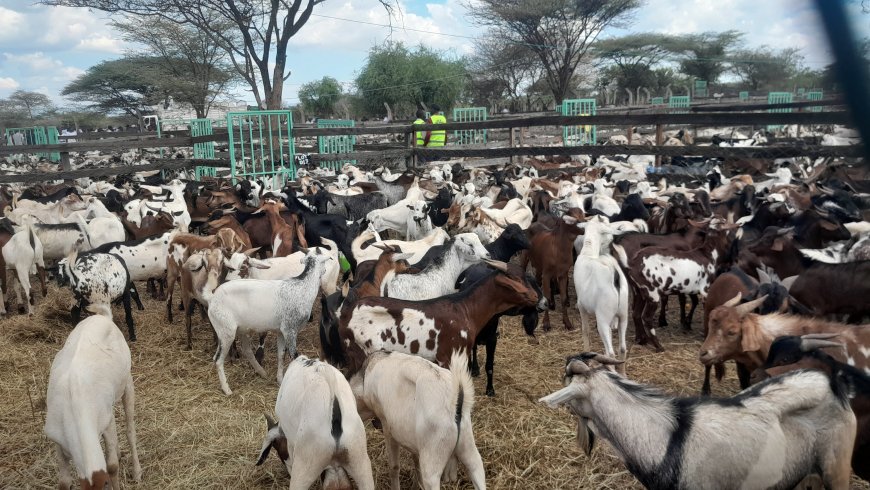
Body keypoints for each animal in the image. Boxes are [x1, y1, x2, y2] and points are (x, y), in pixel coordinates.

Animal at [44, 314, 142, 489]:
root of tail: (101, 316)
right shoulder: (57, 439)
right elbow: (64, 482)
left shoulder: (106, 424)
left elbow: (112, 466)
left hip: (127, 382)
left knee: (130, 431)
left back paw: (137, 472)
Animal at [349, 351, 485, 490]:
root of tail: (454, 399)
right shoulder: (415, 442)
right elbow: (415, 461)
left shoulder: (387, 427)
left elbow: (394, 467)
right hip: (469, 450)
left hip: (432, 465)